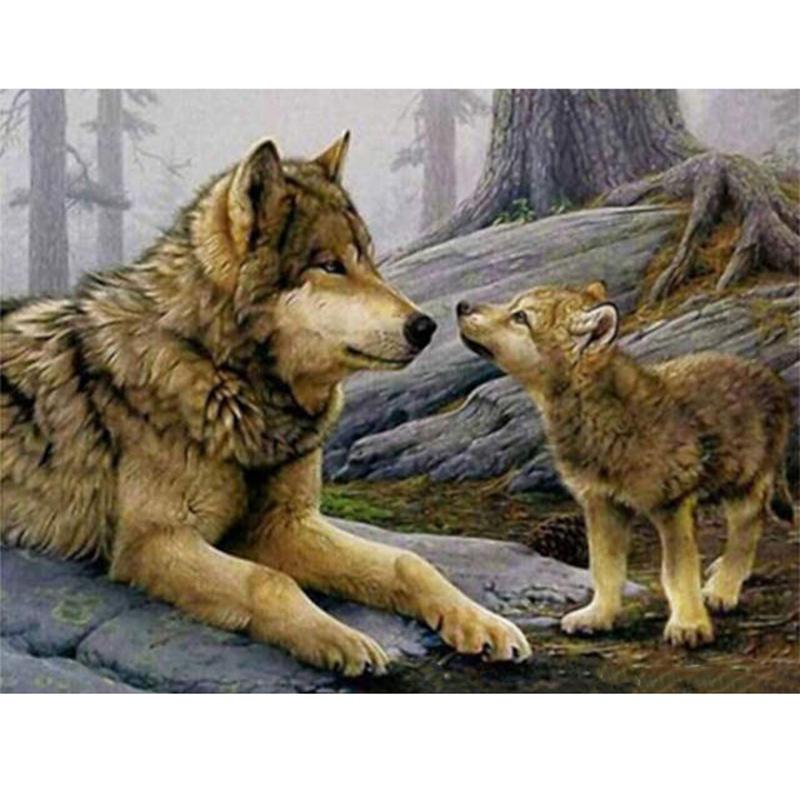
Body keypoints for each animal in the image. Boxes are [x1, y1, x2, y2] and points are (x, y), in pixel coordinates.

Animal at [1, 133, 530, 675]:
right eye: (330, 266)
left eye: (369, 260)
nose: (426, 326)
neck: (227, 379)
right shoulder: (153, 542)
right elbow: (270, 581)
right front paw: (342, 639)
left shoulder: (284, 525)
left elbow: (409, 562)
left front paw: (483, 623)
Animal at [456, 281, 794, 647]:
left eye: (520, 317)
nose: (461, 305)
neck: (600, 413)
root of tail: (771, 377)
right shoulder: (601, 502)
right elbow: (605, 569)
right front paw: (598, 616)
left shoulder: (671, 505)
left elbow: (677, 573)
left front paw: (689, 625)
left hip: (743, 485)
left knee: (748, 532)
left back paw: (722, 589)